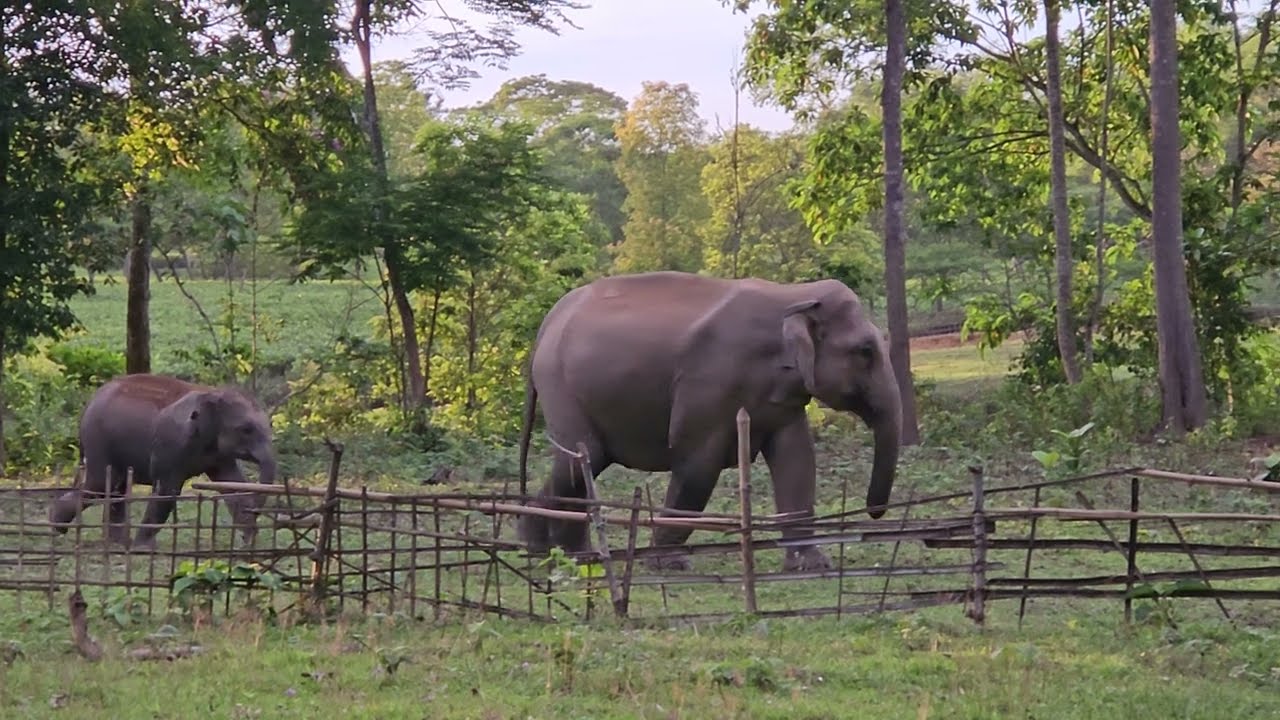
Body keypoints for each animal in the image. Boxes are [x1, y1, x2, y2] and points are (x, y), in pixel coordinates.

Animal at [48, 373, 278, 552]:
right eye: (246, 429)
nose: (246, 539)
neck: (211, 392)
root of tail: (89, 403)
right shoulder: (171, 444)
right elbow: (167, 492)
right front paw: (142, 549)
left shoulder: (219, 455)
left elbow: (232, 483)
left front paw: (249, 542)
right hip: (98, 439)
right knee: (100, 484)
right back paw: (57, 525)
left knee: (115, 487)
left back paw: (116, 542)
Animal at [516, 270, 903, 572]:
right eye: (865, 351)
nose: (874, 513)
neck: (793, 294)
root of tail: (546, 324)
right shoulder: (708, 382)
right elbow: (696, 465)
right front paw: (669, 564)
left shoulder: (786, 398)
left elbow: (797, 461)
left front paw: (812, 565)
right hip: (560, 386)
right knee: (582, 459)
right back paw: (564, 556)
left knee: (579, 465)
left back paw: (550, 552)